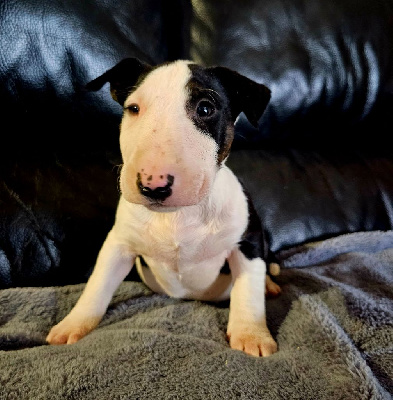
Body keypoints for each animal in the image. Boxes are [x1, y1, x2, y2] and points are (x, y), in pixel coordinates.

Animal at [46, 58, 278, 356]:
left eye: (205, 108)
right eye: (133, 108)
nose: (152, 184)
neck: (178, 217)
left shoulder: (247, 242)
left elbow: (248, 290)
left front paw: (251, 335)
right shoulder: (119, 244)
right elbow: (98, 284)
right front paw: (72, 325)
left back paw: (270, 286)